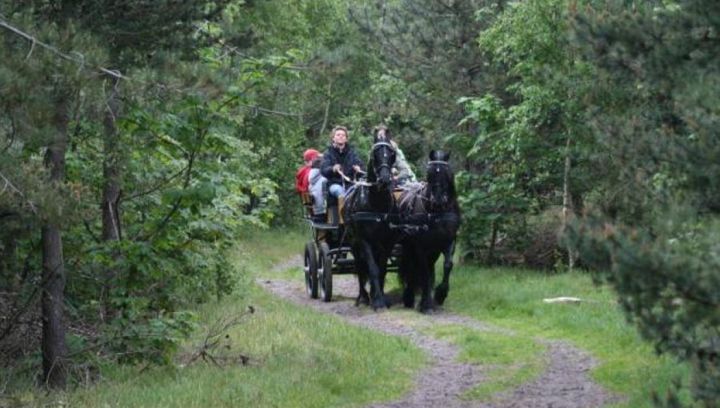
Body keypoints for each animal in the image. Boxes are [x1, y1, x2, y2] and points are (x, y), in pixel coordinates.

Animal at [340, 126, 396, 310]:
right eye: (375, 153)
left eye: (391, 153)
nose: (384, 179)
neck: (376, 202)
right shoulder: (364, 240)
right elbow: (372, 269)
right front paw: (377, 301)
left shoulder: (387, 241)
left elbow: (382, 268)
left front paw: (381, 297)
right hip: (353, 242)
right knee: (359, 266)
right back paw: (363, 297)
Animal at [396, 150, 458, 312]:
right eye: (429, 173)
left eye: (447, 172)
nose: (438, 199)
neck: (437, 212)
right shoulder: (420, 245)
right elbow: (423, 271)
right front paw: (426, 304)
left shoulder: (449, 241)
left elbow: (447, 265)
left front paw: (440, 294)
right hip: (409, 245)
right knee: (412, 266)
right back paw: (409, 297)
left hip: (433, 249)